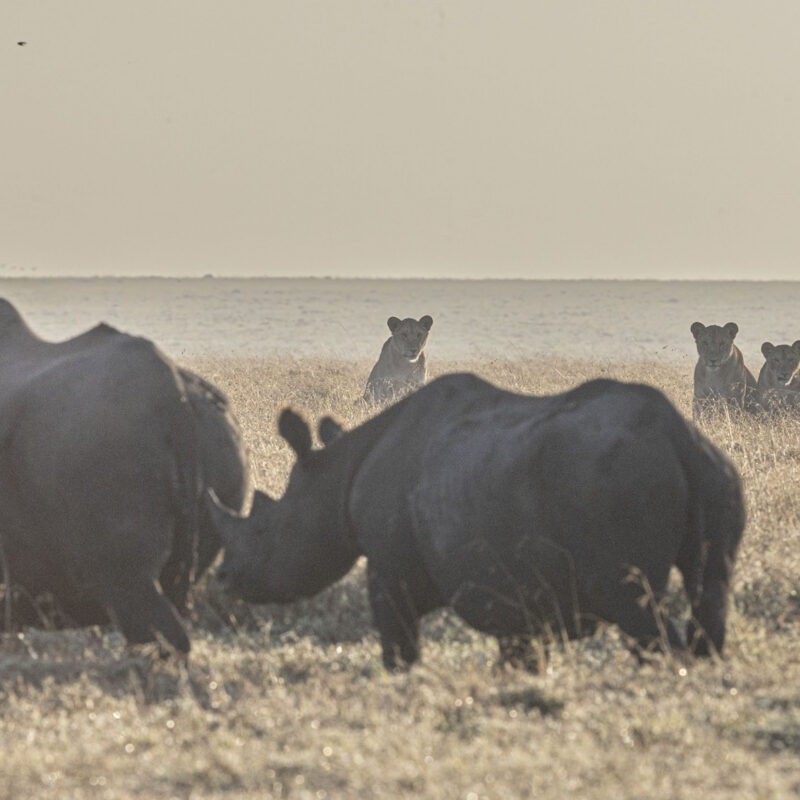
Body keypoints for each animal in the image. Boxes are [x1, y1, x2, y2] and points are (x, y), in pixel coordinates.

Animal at [207, 373, 744, 670]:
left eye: (264, 529)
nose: (224, 578)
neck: (336, 475)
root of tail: (677, 436)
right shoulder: (514, 585)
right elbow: (520, 654)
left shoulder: (390, 566)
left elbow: (398, 643)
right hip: (717, 475)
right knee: (711, 588)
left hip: (616, 485)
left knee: (637, 609)